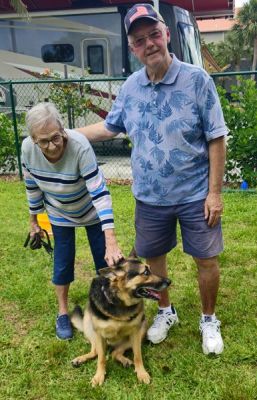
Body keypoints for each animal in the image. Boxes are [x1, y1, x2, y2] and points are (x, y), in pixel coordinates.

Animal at [70, 258, 170, 386]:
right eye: (146, 272)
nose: (169, 281)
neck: (120, 301)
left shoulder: (136, 333)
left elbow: (138, 356)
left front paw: (141, 373)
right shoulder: (99, 335)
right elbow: (101, 359)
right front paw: (99, 376)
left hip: (142, 328)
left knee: (114, 353)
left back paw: (124, 361)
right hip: (88, 323)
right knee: (96, 352)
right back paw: (80, 359)